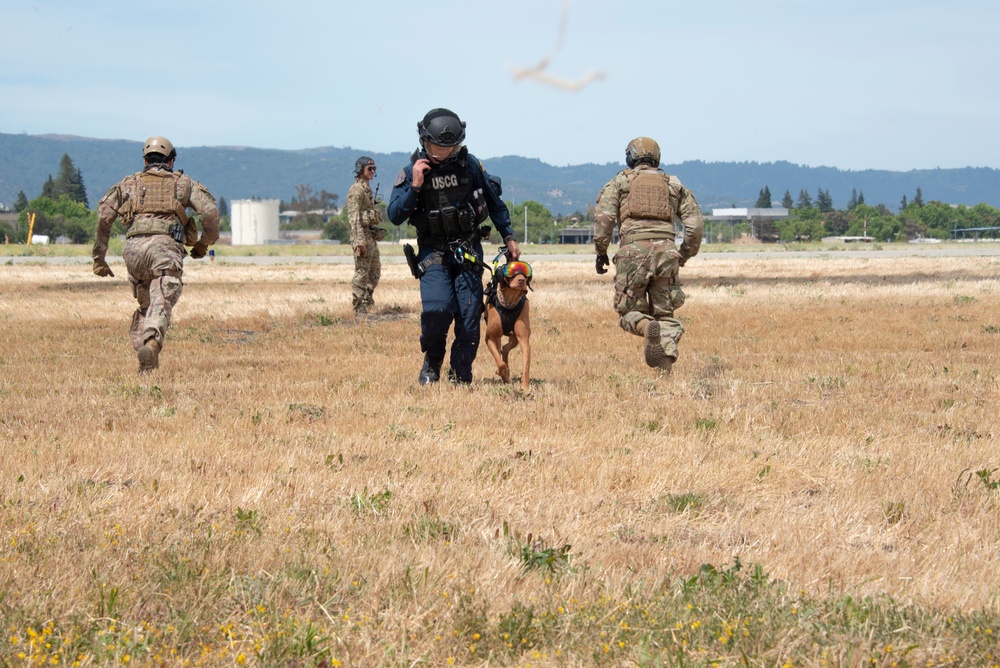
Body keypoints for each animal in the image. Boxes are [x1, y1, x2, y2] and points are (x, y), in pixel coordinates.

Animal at [482, 260, 532, 394]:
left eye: (525, 272)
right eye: (511, 271)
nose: (521, 280)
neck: (509, 304)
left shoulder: (524, 339)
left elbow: (525, 365)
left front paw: (525, 388)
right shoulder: (490, 338)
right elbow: (500, 364)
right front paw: (503, 374)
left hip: (514, 338)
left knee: (505, 348)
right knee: (501, 350)